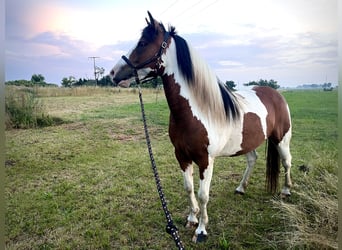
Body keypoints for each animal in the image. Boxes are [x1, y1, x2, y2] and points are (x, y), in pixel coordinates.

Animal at [111, 11, 292, 242]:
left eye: (142, 43)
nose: (113, 73)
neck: (197, 111)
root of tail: (276, 94)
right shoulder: (181, 156)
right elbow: (188, 188)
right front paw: (191, 218)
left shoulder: (206, 161)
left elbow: (203, 194)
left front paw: (202, 230)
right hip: (247, 143)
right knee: (253, 159)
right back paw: (241, 188)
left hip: (282, 139)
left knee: (287, 162)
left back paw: (286, 191)